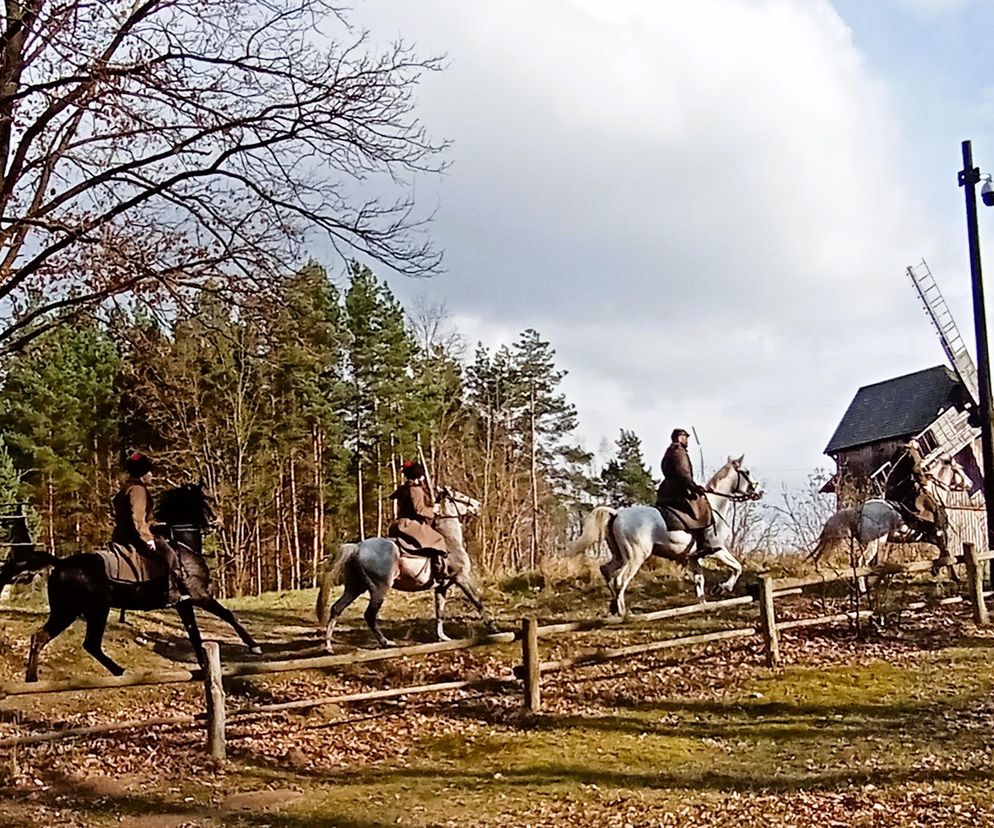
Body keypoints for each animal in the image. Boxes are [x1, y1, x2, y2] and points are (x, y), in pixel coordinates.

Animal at [0, 486, 260, 680]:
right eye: (206, 500)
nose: (220, 522)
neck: (182, 546)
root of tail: (61, 563)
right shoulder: (198, 595)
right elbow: (227, 615)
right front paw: (254, 645)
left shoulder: (183, 603)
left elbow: (195, 633)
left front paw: (204, 665)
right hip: (85, 611)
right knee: (80, 643)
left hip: (74, 612)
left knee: (51, 639)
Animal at [314, 482, 492, 652]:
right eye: (459, 496)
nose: (478, 505)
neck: (450, 540)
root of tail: (357, 547)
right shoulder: (461, 578)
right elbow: (477, 602)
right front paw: (492, 626)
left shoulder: (442, 587)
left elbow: (440, 611)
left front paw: (442, 637)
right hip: (379, 589)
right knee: (369, 615)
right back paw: (386, 642)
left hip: (355, 587)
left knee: (337, 608)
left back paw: (328, 646)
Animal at [564, 456, 760, 616]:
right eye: (747, 472)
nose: (757, 492)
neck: (714, 506)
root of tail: (616, 514)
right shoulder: (717, 549)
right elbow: (737, 567)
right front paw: (723, 588)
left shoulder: (693, 558)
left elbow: (700, 581)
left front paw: (703, 605)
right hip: (635, 557)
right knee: (621, 579)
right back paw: (622, 612)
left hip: (620, 556)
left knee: (606, 570)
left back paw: (614, 606)